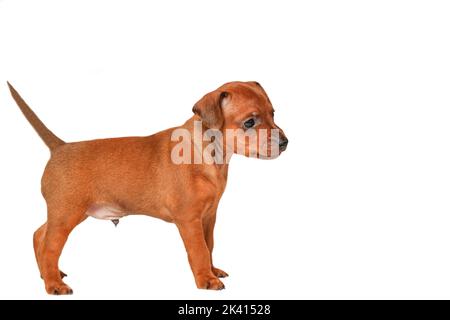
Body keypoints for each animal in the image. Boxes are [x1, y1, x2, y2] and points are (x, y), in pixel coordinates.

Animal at [7, 82, 288, 296]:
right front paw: (206, 280)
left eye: (273, 114)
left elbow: (209, 246)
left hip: (64, 214)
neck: (210, 152)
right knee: (49, 246)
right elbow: (199, 250)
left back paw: (47, 274)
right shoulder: (189, 220)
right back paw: (53, 283)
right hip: (66, 215)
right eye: (249, 122)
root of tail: (60, 147)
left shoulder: (209, 217)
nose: (285, 142)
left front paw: (212, 269)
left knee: (39, 235)